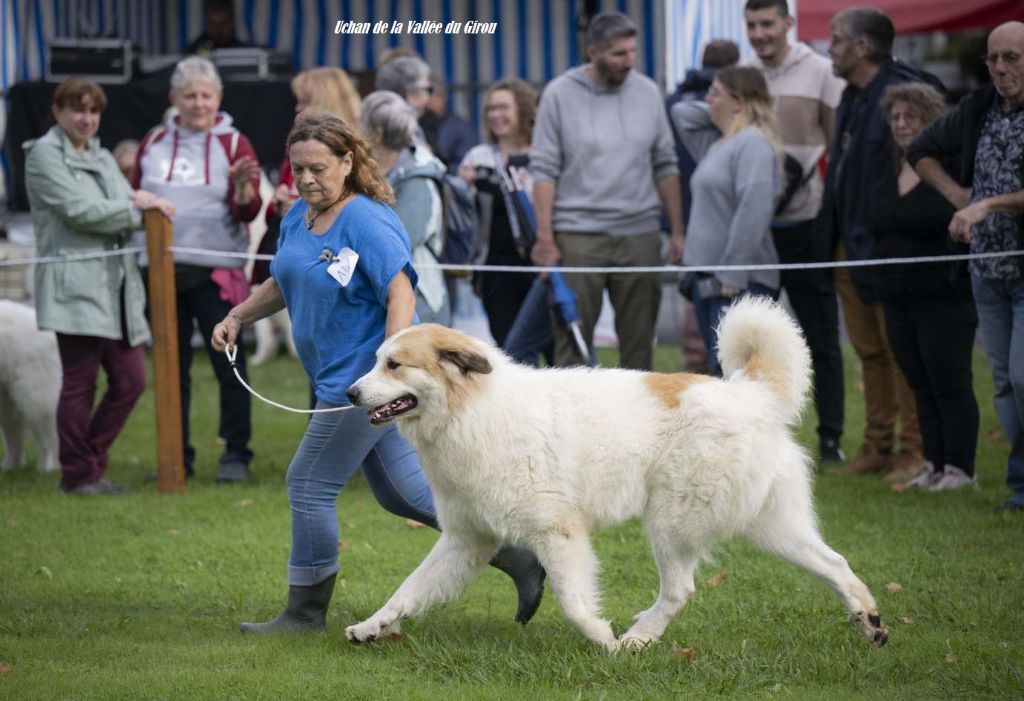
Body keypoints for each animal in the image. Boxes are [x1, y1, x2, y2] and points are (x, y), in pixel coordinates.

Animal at [0, 298, 59, 472]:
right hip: (8, 402)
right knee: (14, 438)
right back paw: (9, 467)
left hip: (36, 400)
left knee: (49, 439)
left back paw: (49, 469)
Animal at [344, 296, 888, 650]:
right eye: (377, 361)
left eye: (394, 365)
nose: (349, 393)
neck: (471, 409)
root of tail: (751, 394)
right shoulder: (465, 540)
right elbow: (409, 590)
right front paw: (373, 627)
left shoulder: (558, 532)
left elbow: (572, 600)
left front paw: (601, 639)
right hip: (771, 526)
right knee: (834, 562)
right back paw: (870, 620)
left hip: (672, 523)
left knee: (680, 589)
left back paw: (637, 640)